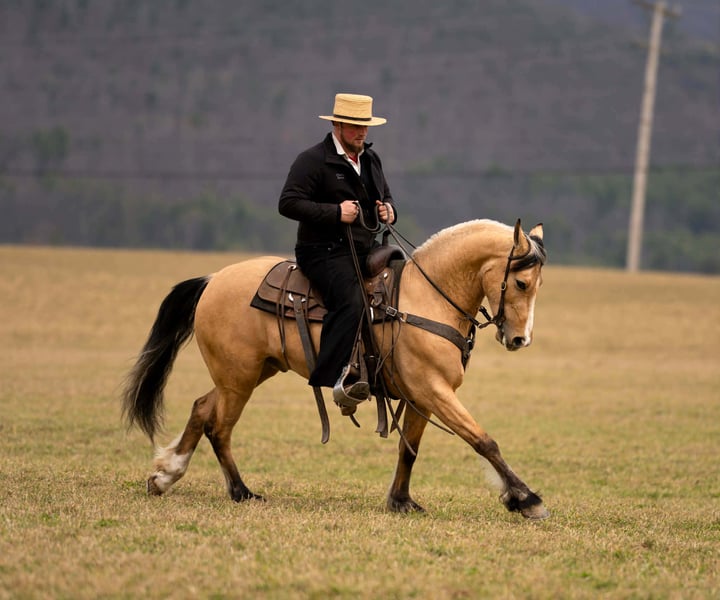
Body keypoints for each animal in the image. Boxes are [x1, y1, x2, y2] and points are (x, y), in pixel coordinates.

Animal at [122, 218, 549, 520]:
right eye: (522, 283)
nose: (519, 340)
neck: (426, 297)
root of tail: (213, 279)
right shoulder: (433, 389)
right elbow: (483, 440)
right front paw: (526, 498)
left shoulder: (424, 395)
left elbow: (408, 449)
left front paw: (401, 500)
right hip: (238, 379)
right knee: (219, 427)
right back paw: (241, 491)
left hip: (249, 373)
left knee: (201, 408)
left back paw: (166, 475)